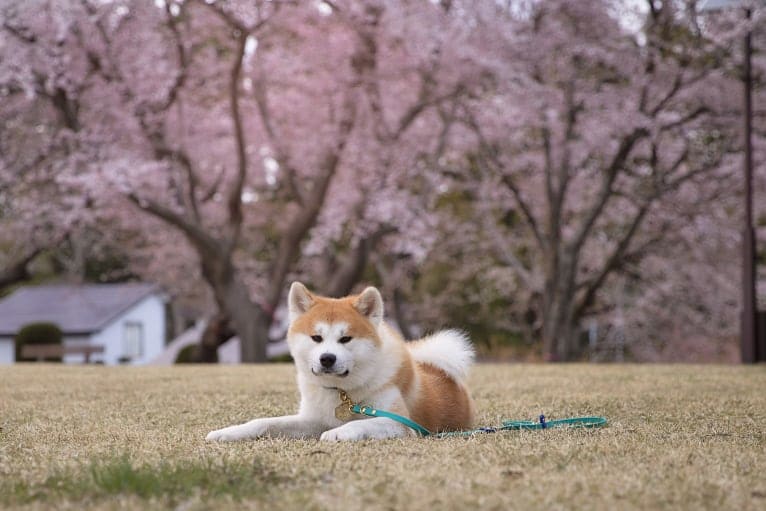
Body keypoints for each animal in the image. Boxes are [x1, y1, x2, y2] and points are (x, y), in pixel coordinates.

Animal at [207, 282, 476, 442]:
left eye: (345, 338)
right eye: (316, 338)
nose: (327, 358)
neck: (342, 393)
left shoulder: (400, 423)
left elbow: (360, 425)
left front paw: (337, 433)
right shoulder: (312, 420)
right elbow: (264, 422)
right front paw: (227, 432)